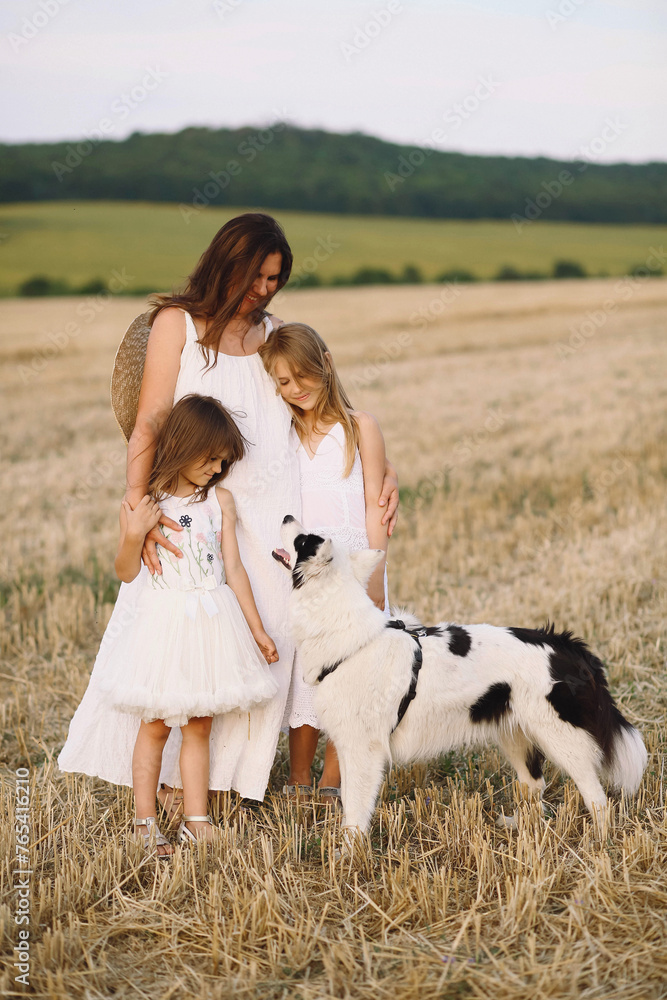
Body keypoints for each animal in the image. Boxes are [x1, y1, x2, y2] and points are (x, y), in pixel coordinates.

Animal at [272, 520, 648, 832]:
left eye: (302, 539)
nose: (287, 517)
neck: (351, 640)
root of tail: (564, 644)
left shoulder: (363, 749)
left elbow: (355, 808)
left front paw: (349, 854)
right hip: (515, 734)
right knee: (534, 787)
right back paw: (519, 828)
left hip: (561, 738)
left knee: (597, 798)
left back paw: (599, 844)